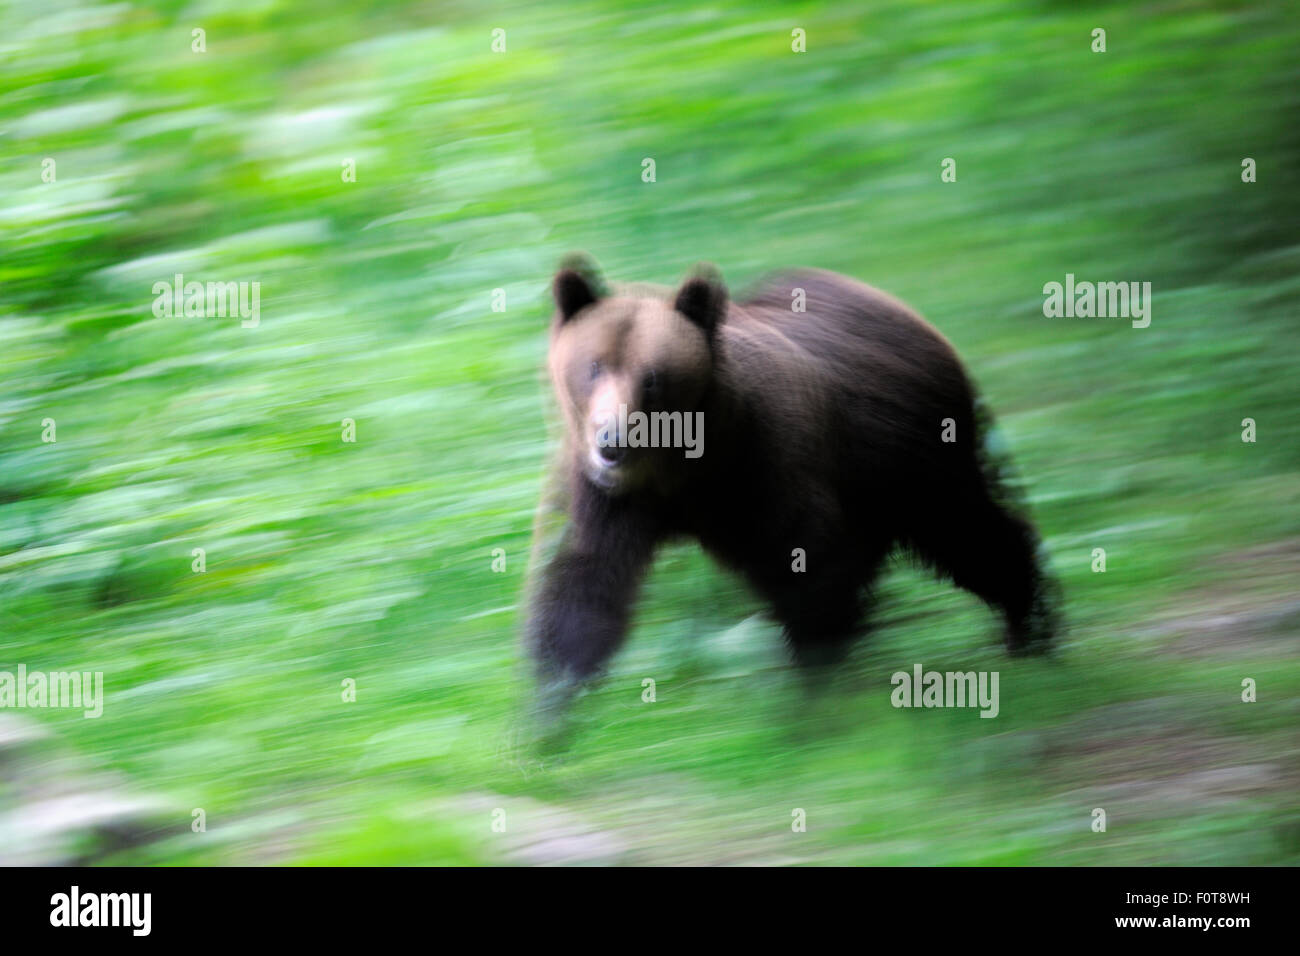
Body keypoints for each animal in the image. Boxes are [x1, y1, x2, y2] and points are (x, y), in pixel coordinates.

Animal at [525, 257, 1055, 697]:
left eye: (652, 377)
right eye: (594, 366)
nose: (614, 441)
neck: (682, 470)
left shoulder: (762, 464)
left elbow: (805, 563)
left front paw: (813, 675)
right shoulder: (603, 494)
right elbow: (584, 580)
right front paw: (553, 704)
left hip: (912, 452)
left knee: (966, 532)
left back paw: (1029, 627)